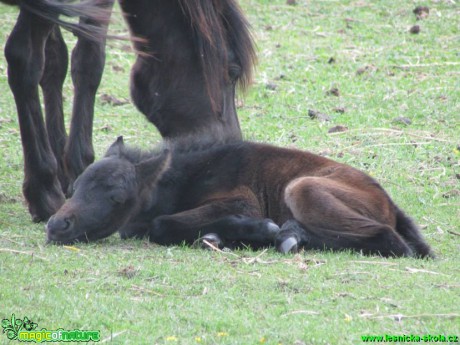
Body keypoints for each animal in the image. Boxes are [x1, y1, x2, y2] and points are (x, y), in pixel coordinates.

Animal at [0, 0, 255, 220]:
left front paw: (63, 170)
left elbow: (55, 60)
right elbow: (88, 59)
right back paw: (43, 190)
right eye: (233, 70)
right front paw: (70, 173)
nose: (231, 143)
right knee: (26, 59)